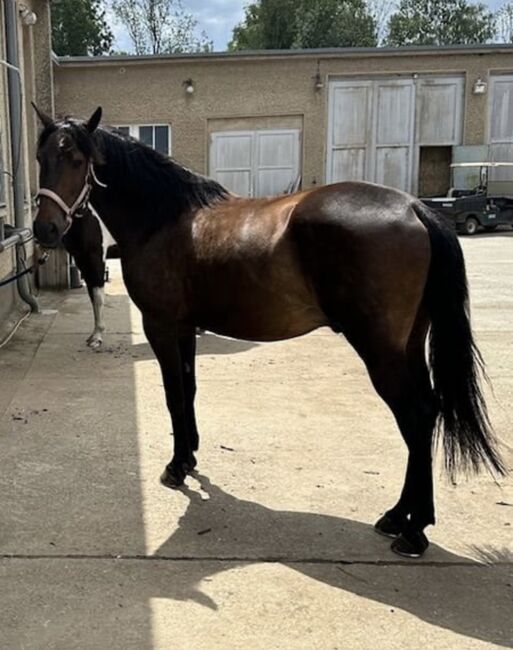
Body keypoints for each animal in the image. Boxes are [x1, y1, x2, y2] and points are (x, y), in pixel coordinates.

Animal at [32, 107, 504, 556]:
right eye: (41, 158)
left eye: (76, 160)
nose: (45, 229)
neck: (163, 219)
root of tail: (414, 209)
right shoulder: (185, 329)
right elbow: (189, 390)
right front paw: (191, 455)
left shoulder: (161, 326)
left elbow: (174, 396)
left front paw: (176, 465)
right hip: (408, 345)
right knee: (426, 413)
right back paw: (397, 517)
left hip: (380, 351)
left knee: (417, 416)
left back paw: (413, 530)